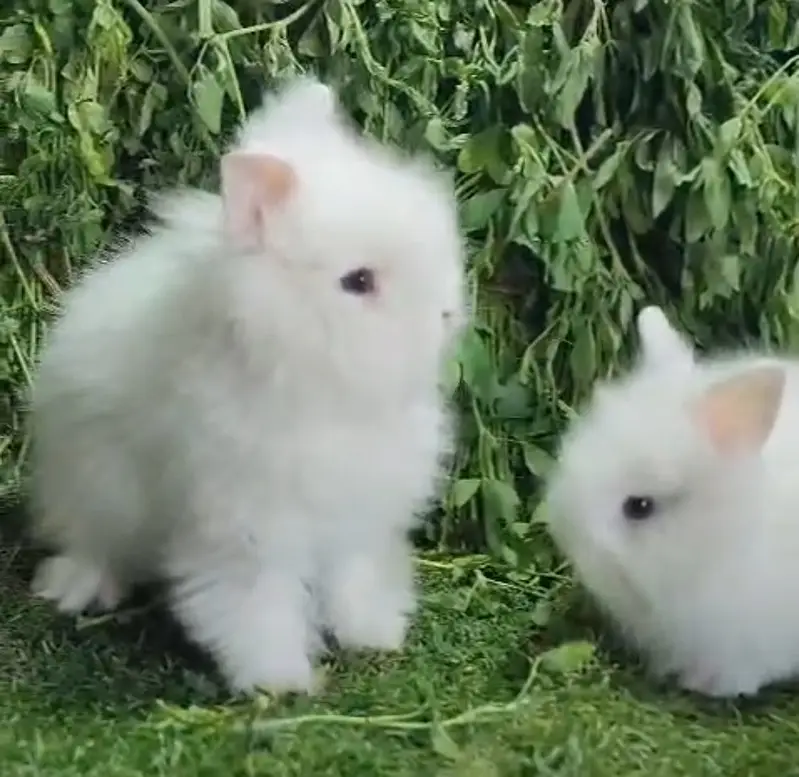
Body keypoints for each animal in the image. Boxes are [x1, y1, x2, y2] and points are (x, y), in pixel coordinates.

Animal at [27, 74, 467, 695]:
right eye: (358, 281)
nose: (448, 316)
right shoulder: (246, 531)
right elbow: (257, 605)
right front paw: (278, 681)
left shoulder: (356, 520)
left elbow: (354, 579)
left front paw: (374, 636)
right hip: (96, 490)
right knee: (92, 544)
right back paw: (80, 588)